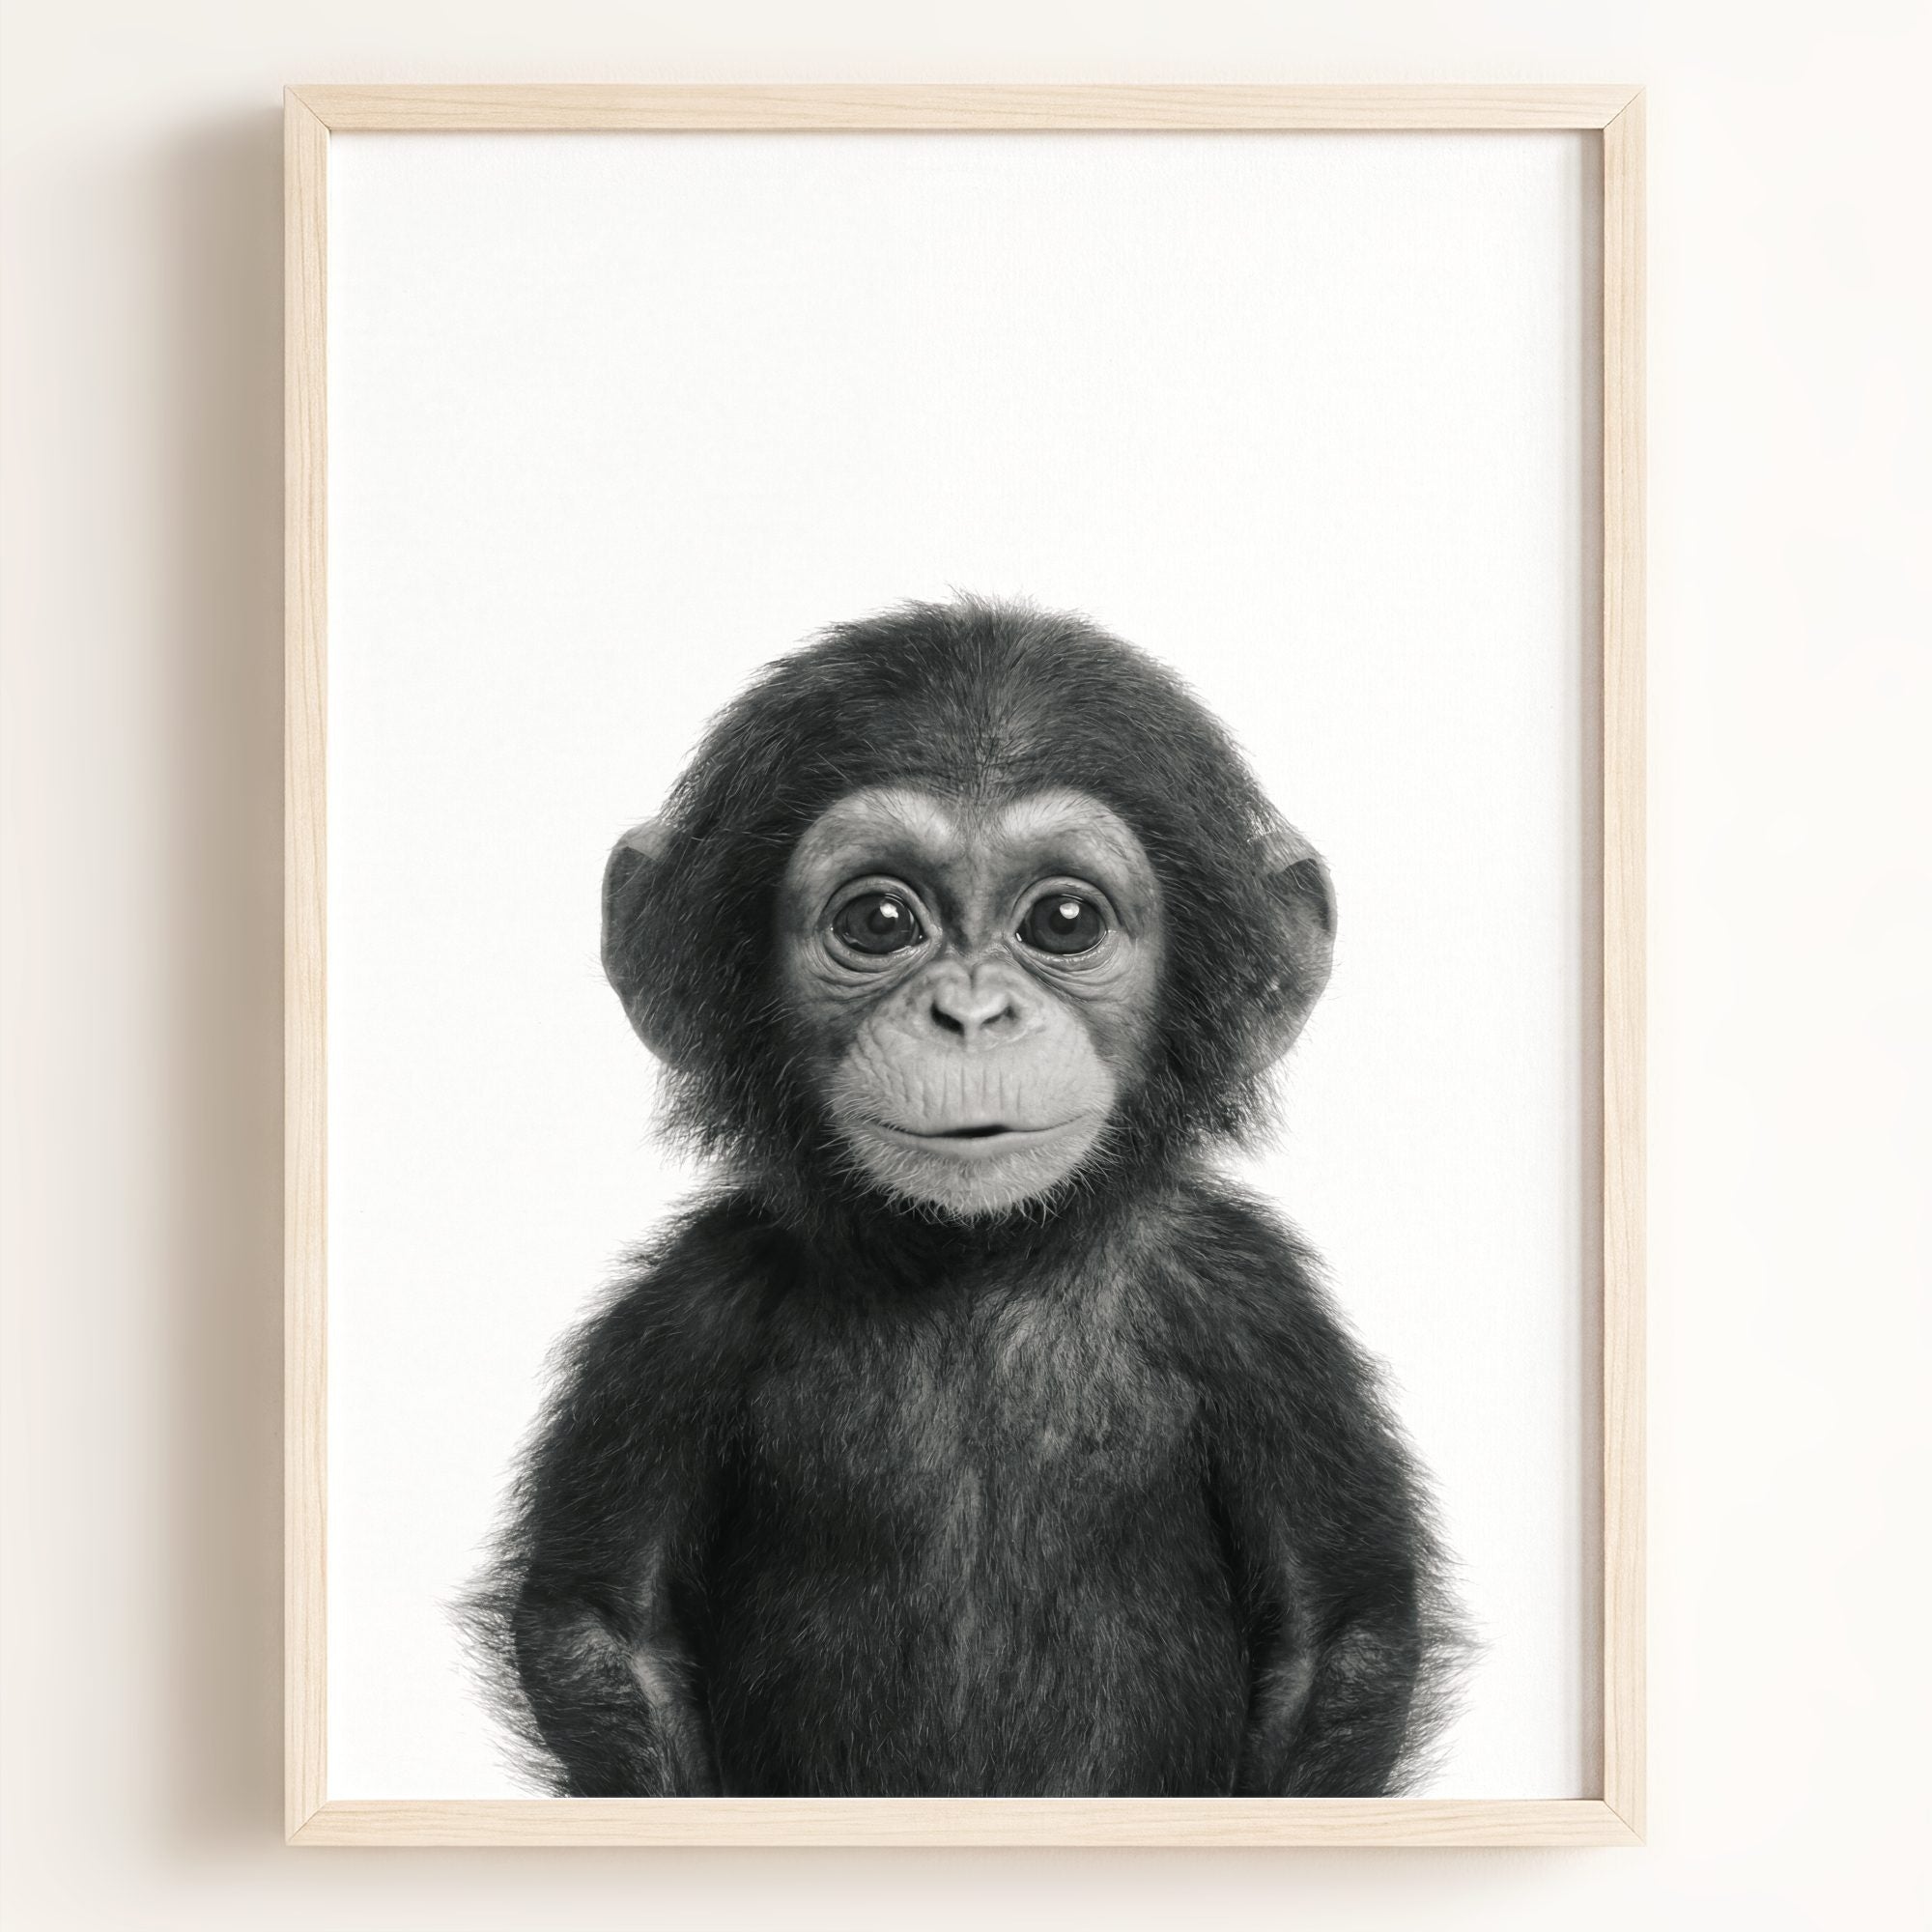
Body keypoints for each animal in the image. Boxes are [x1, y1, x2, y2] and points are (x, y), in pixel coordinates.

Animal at [464, 597, 1465, 1798]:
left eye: (1064, 919)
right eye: (880, 921)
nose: (972, 1014)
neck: (974, 1257)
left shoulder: (1255, 1308)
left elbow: (1336, 1634)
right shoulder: (686, 1311)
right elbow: (606, 1629)